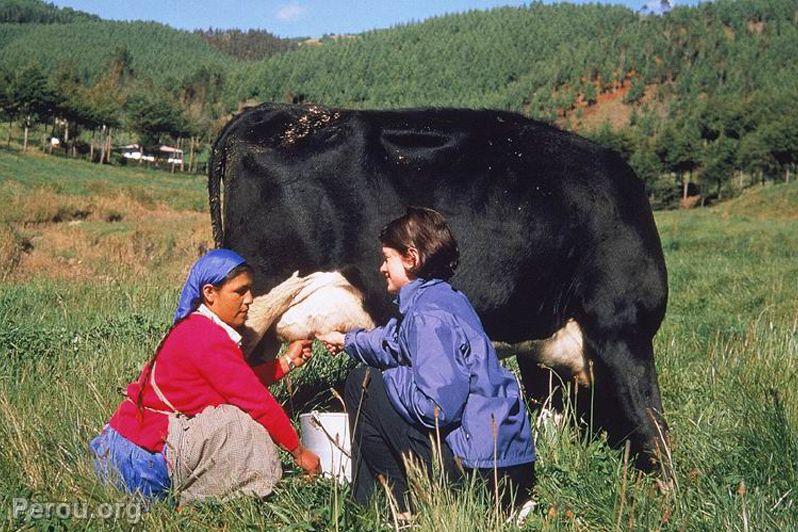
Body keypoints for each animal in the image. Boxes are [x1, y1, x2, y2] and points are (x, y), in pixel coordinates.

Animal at [209, 103, 672, 470]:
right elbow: (650, 419)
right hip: (254, 304)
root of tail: (272, 112)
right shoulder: (623, 325)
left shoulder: (542, 348)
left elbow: (549, 414)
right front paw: (667, 491)